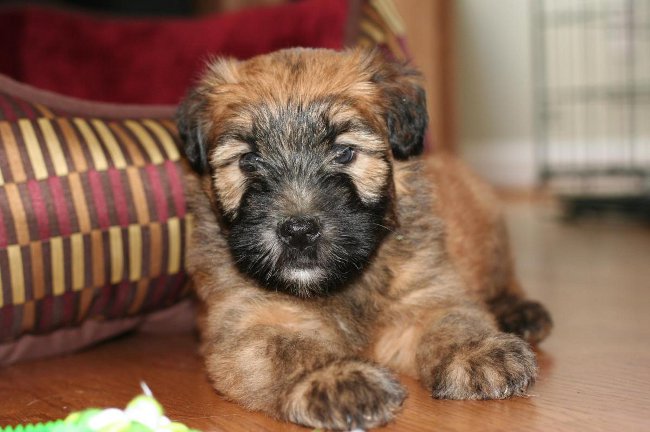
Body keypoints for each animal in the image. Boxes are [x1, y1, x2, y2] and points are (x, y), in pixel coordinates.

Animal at [175, 49, 548, 430]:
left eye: (344, 153)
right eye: (248, 160)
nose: (299, 232)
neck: (342, 285)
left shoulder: (425, 294)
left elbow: (451, 320)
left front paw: (476, 350)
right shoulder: (250, 325)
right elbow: (289, 352)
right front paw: (337, 378)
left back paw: (520, 312)